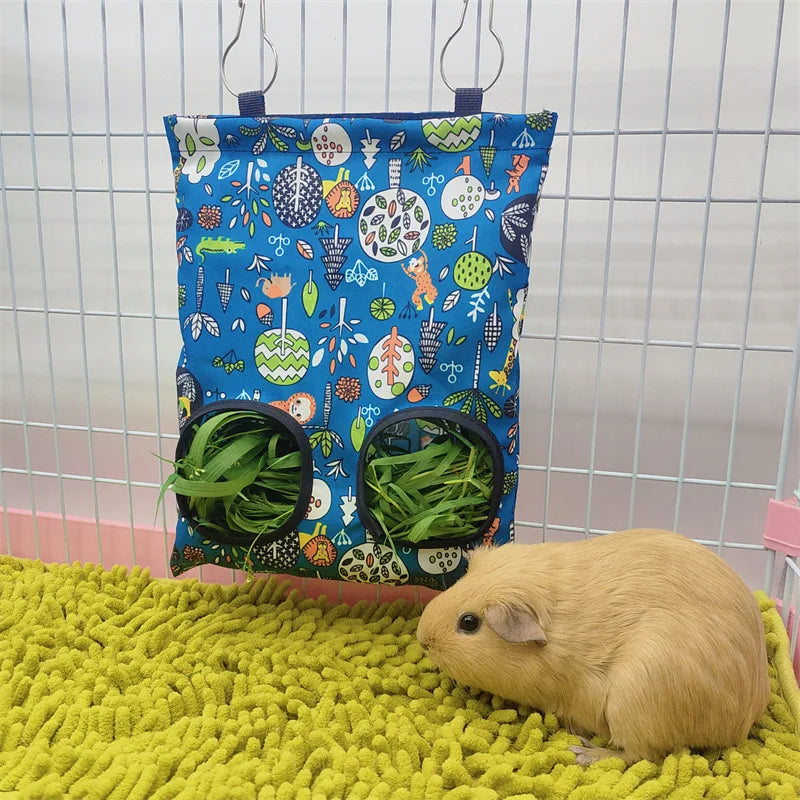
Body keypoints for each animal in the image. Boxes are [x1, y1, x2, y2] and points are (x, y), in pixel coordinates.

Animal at [415, 528, 771, 765]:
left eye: (469, 623)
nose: (422, 639)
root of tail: (743, 720)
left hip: (634, 698)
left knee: (640, 756)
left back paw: (582, 751)